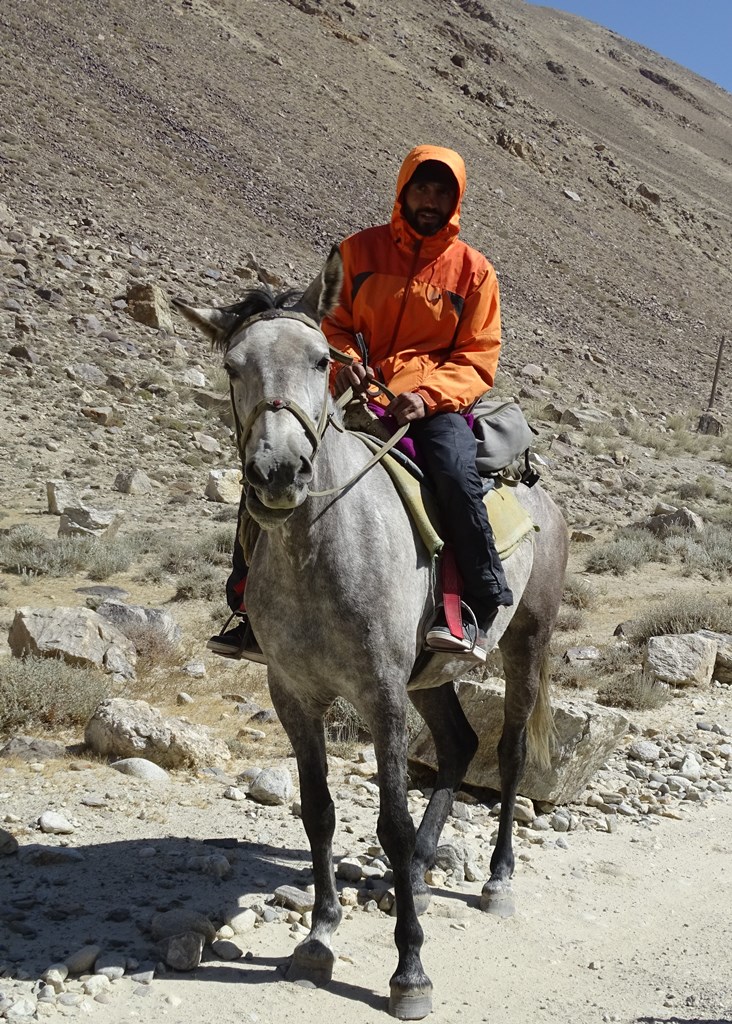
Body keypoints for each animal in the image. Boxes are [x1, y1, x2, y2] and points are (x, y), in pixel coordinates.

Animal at [175, 245, 569, 1015]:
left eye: (322, 358)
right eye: (232, 366)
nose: (279, 473)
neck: (323, 548)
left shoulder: (381, 692)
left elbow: (389, 819)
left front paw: (409, 970)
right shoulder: (294, 693)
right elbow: (319, 812)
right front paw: (319, 936)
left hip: (525, 644)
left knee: (507, 753)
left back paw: (496, 879)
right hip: (430, 674)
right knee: (459, 743)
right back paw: (415, 876)